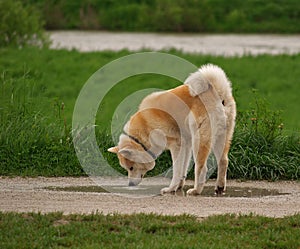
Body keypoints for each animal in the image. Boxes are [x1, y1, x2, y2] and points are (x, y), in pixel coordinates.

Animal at [108, 64, 237, 196]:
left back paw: (196, 190)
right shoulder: (186, 145)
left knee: (202, 167)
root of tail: (217, 92)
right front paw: (178, 187)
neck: (145, 126)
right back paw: (219, 187)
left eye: (131, 168)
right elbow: (183, 169)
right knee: (223, 161)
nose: (130, 185)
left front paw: (171, 189)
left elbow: (177, 169)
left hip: (199, 141)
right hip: (221, 138)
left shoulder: (176, 145)